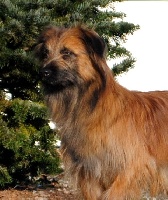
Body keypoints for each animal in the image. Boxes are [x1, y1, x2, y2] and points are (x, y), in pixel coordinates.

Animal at [35, 25, 168, 199]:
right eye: (45, 53)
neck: (92, 109)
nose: (43, 73)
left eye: (67, 53)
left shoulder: (131, 168)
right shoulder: (89, 173)